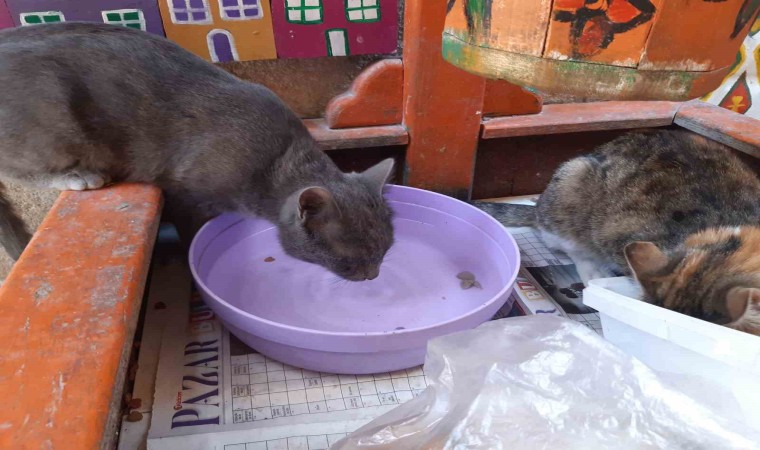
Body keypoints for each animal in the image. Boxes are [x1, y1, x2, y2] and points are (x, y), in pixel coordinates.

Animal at [0, 23, 394, 282]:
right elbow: (190, 230)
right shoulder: (184, 192)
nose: (373, 275)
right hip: (52, 118)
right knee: (15, 168)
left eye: (387, 248)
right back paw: (80, 176)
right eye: (348, 260)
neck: (278, 160)